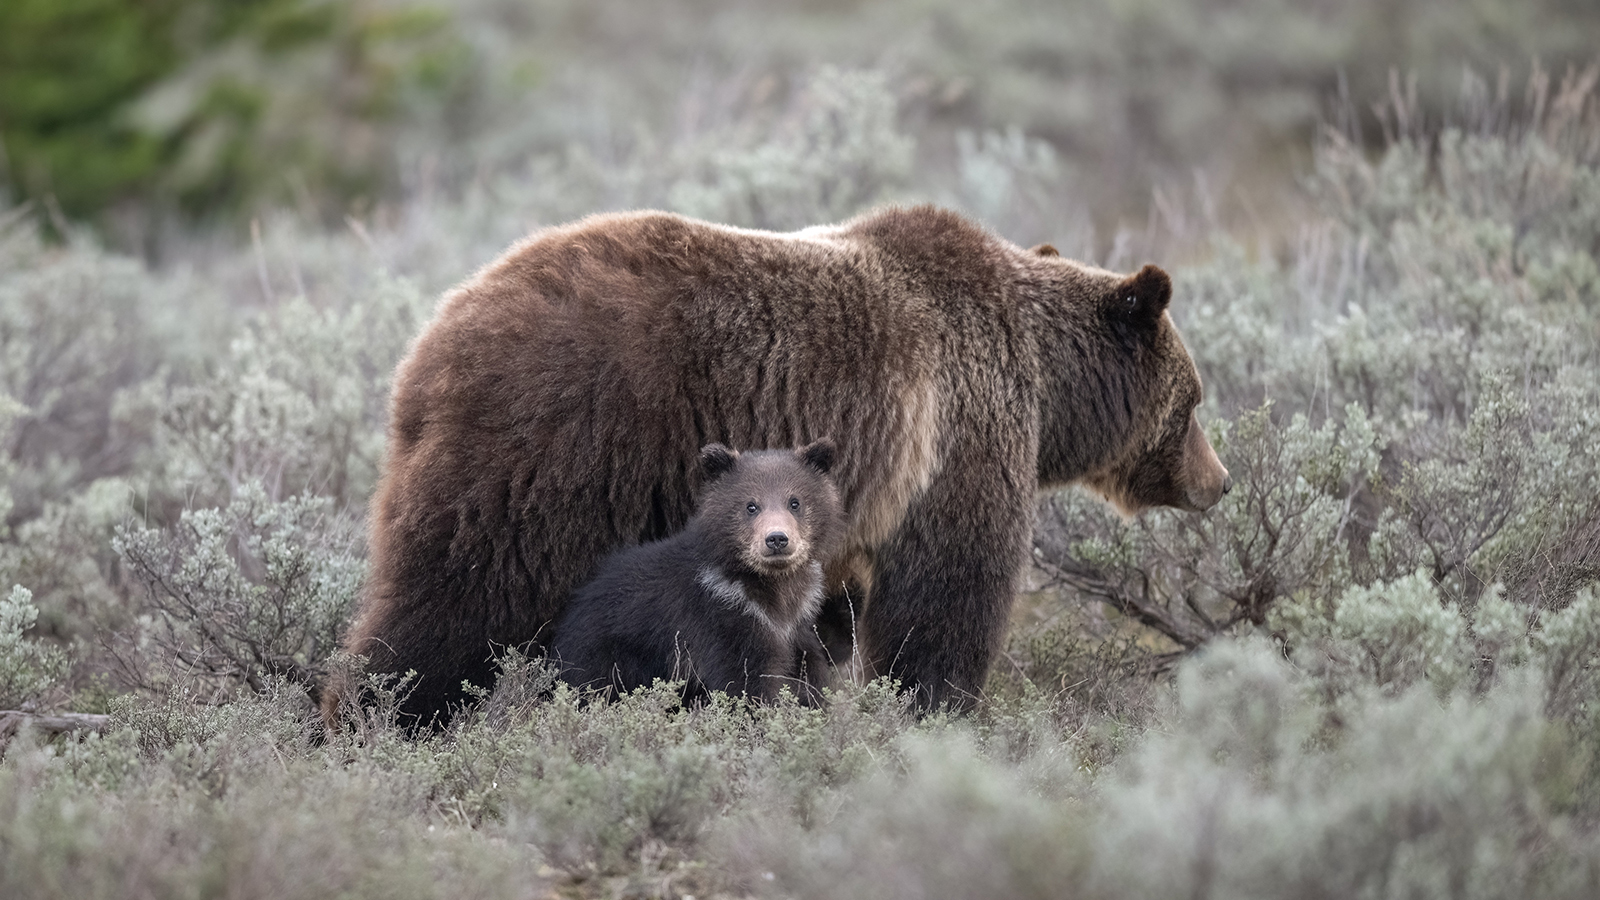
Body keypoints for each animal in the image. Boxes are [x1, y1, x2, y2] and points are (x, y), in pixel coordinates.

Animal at [548, 439, 843, 705]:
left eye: (795, 502)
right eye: (751, 505)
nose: (777, 539)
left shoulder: (796, 624)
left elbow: (809, 667)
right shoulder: (720, 618)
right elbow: (743, 678)